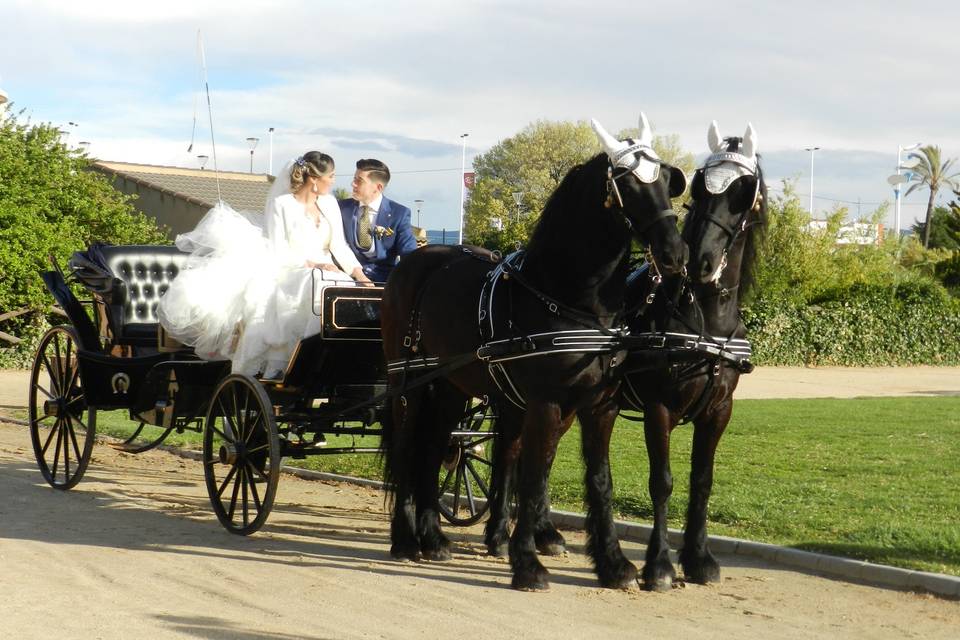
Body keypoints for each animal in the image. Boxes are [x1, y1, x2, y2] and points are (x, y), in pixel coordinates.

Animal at [382, 115, 688, 592]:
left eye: (664, 180)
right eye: (627, 183)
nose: (675, 253)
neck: (571, 299)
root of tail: (416, 260)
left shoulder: (601, 405)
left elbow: (599, 481)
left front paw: (613, 563)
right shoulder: (545, 402)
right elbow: (531, 475)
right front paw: (527, 563)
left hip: (451, 385)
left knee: (434, 448)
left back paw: (432, 538)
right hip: (409, 383)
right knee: (406, 445)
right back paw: (403, 538)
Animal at [624, 121, 764, 592]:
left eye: (744, 190)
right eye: (701, 185)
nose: (699, 259)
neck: (707, 322)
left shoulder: (719, 411)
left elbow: (702, 480)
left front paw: (699, 557)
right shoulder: (658, 408)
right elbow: (662, 482)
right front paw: (659, 565)